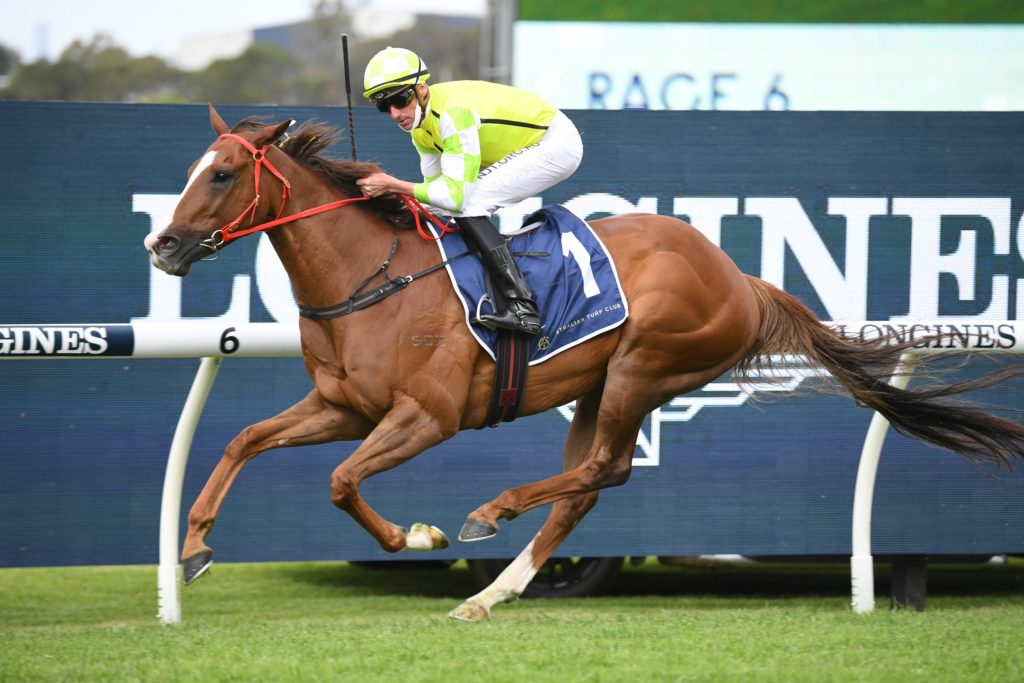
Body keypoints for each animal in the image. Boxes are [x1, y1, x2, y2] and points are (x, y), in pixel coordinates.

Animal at [145, 104, 1024, 622]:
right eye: (188, 172)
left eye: (221, 173)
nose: (163, 242)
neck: (371, 276)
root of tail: (738, 276)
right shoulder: (343, 406)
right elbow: (244, 440)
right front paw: (193, 549)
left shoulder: (426, 416)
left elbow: (340, 480)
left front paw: (418, 533)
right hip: (599, 386)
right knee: (585, 490)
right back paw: (492, 590)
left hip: (644, 367)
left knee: (606, 470)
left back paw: (489, 514)